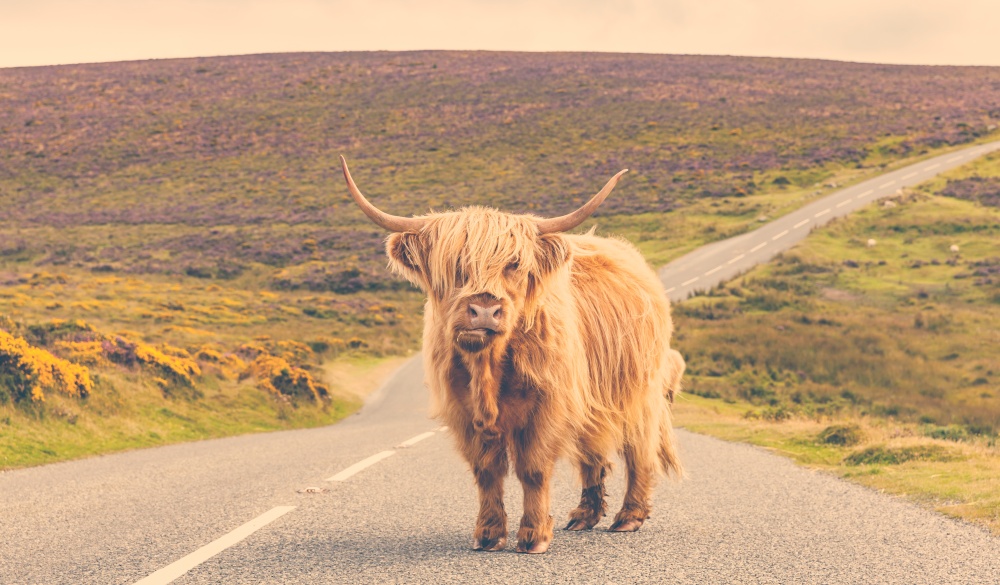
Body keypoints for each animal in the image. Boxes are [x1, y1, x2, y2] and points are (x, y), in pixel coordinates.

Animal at [340, 157, 684, 556]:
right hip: (590, 399)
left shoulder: (548, 405)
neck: (487, 370)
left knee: (639, 448)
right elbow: (486, 472)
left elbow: (533, 469)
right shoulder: (464, 410)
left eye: (514, 264)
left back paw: (629, 517)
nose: (484, 310)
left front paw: (534, 536)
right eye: (455, 264)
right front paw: (488, 534)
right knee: (592, 451)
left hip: (638, 391)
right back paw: (584, 516)